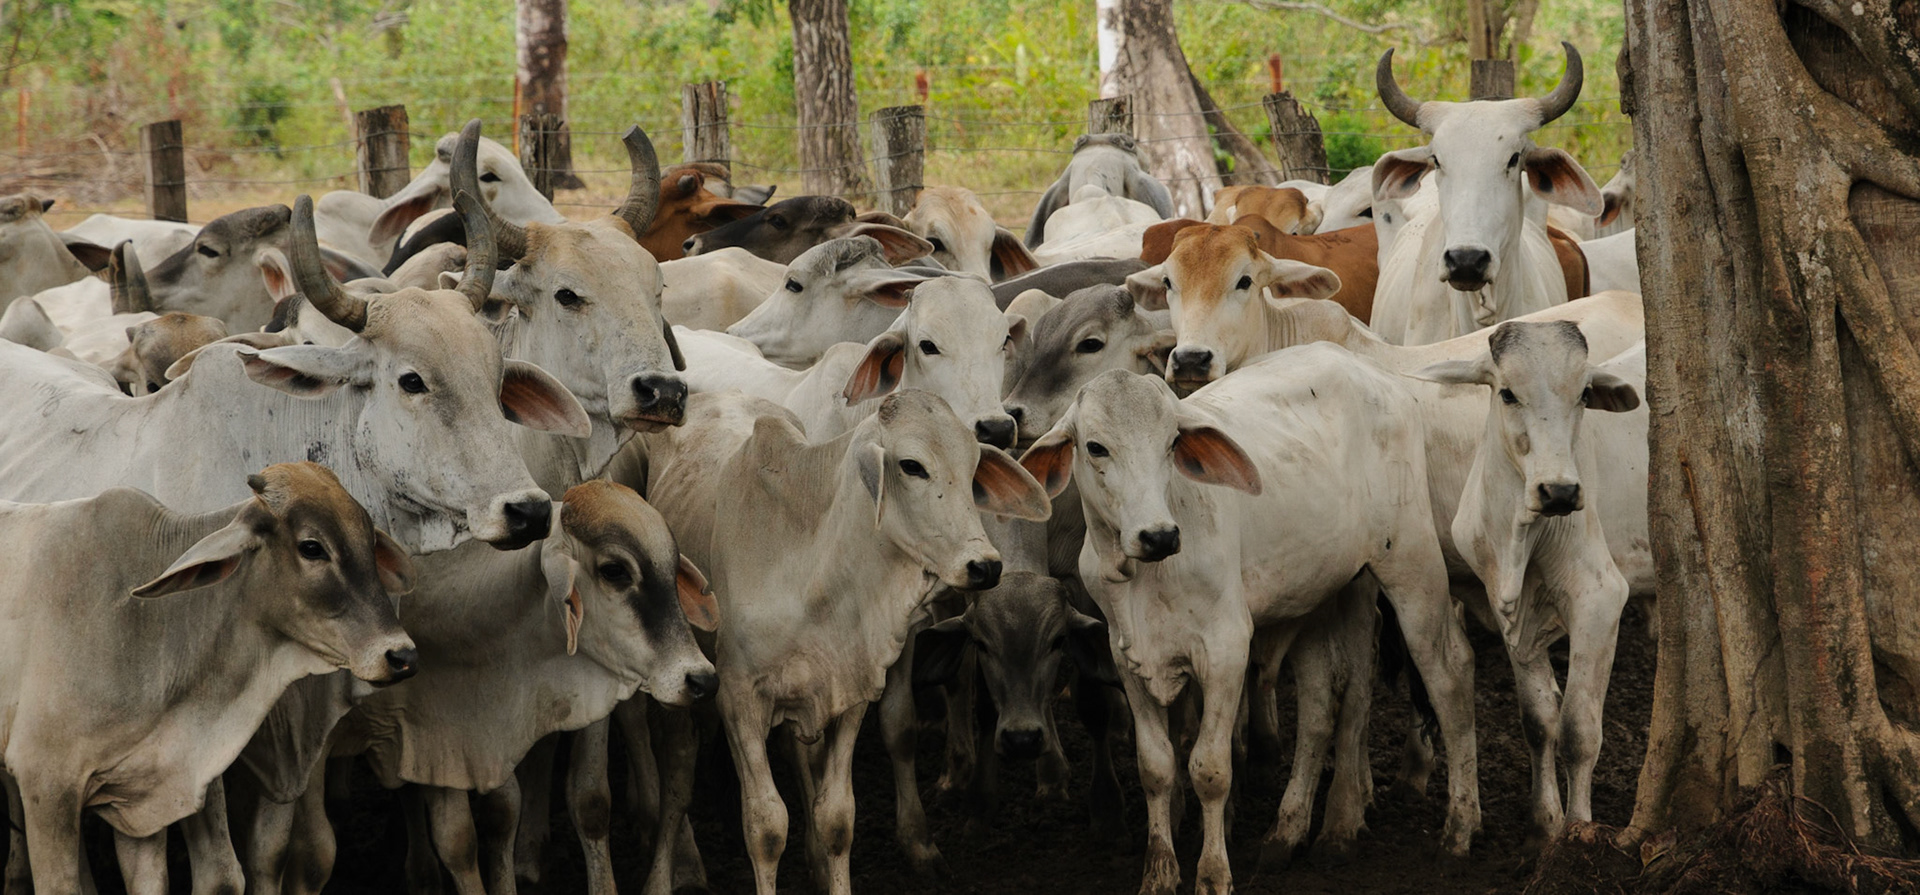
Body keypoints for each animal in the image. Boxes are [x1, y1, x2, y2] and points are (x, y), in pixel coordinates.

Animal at [637, 389, 1049, 895]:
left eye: (973, 468)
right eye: (912, 466)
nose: (986, 565)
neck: (813, 571)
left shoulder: (850, 691)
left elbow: (836, 816)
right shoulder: (737, 699)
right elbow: (766, 827)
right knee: (677, 780)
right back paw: (663, 876)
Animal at [1018, 353, 1483, 894]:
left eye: (1171, 441)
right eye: (1096, 447)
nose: (1159, 536)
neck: (1144, 575)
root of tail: (1372, 371)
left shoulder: (1225, 650)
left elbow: (1209, 770)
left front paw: (1213, 875)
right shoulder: (1126, 653)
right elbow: (1156, 766)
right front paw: (1159, 873)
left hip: (1412, 563)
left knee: (1450, 676)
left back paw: (1458, 832)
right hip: (1322, 592)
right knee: (1322, 705)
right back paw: (1289, 833)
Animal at [1410, 322, 1640, 843]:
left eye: (1584, 394)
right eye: (1508, 393)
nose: (1559, 491)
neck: (1521, 538)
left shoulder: (1600, 602)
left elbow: (1578, 731)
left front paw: (1576, 832)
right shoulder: (1506, 608)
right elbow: (1538, 720)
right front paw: (1545, 821)